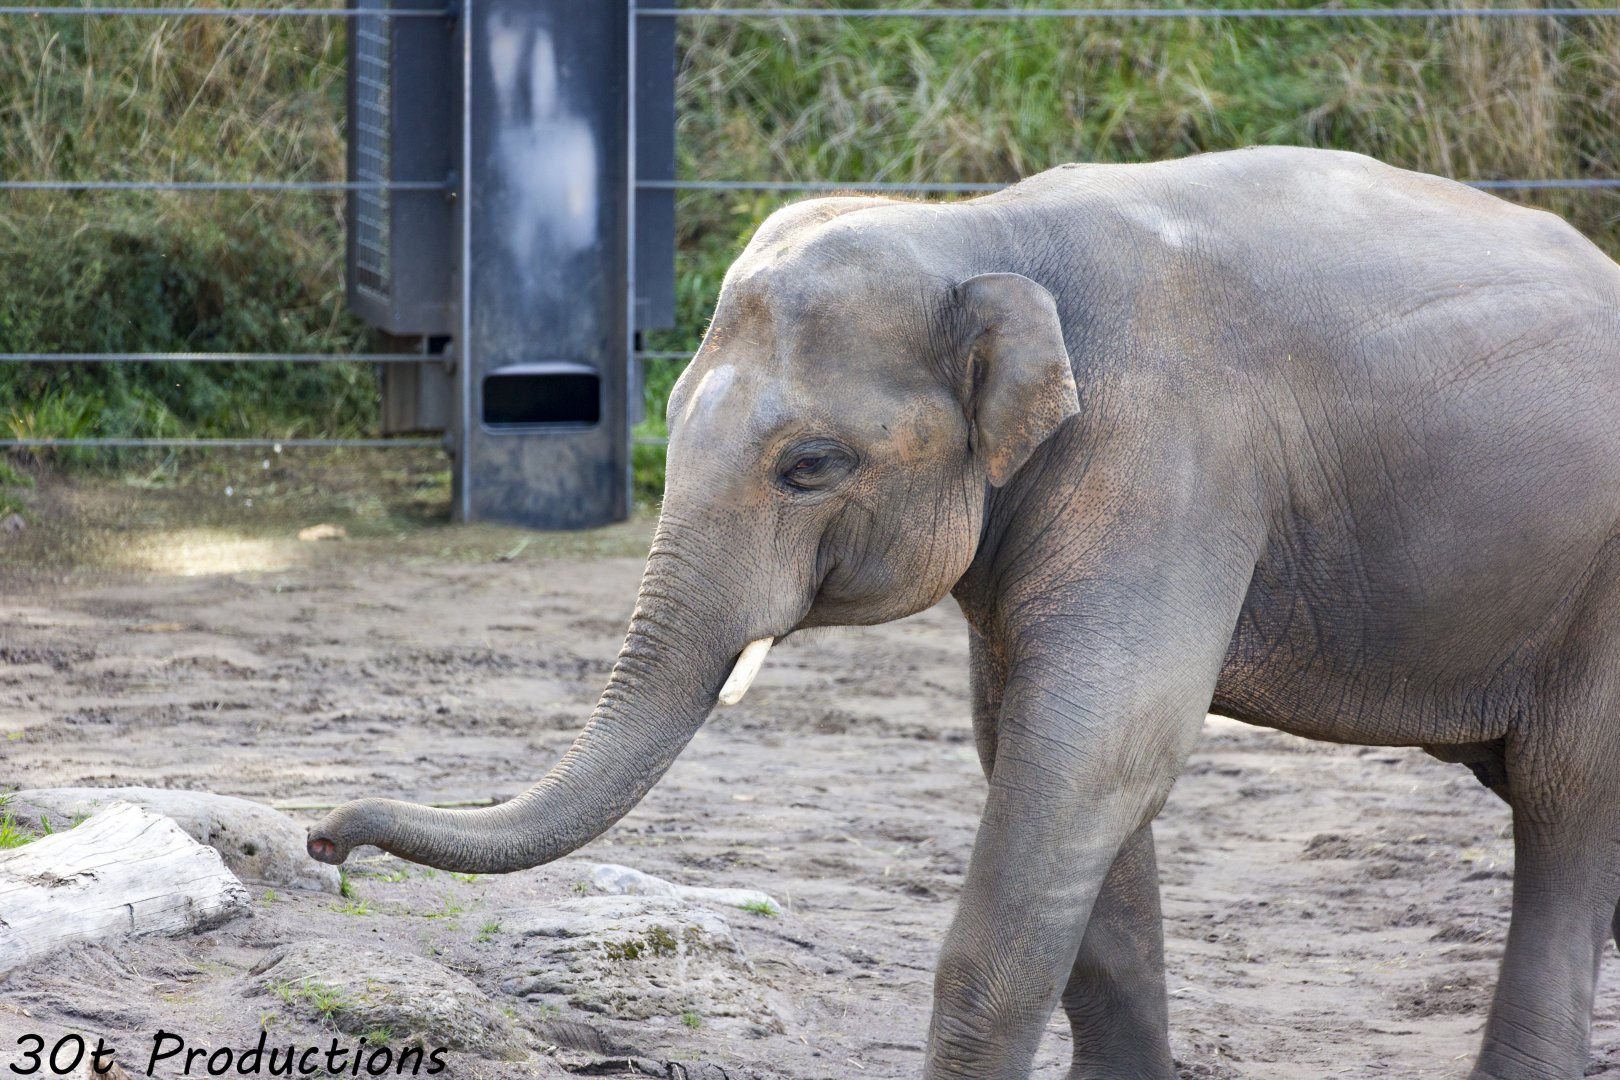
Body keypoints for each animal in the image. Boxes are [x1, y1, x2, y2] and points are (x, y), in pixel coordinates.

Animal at [309, 145, 1620, 1079]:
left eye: (811, 466)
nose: (326, 844)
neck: (981, 232)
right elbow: (1038, 751)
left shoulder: (1173, 458)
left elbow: (1100, 747)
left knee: (1569, 799)